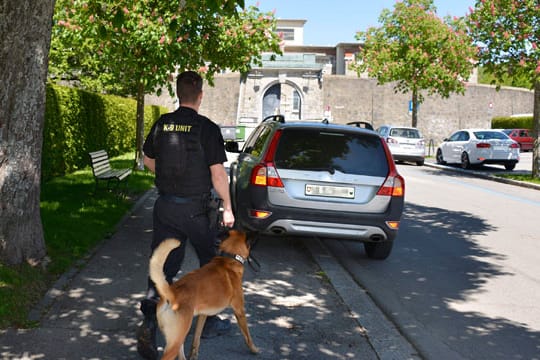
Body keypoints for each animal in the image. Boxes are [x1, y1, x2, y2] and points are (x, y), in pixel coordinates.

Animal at [148, 231, 258, 360]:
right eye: (249, 237)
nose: (256, 233)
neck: (228, 259)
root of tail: (172, 293)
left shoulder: (203, 315)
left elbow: (197, 337)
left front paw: (193, 354)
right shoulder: (239, 310)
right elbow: (247, 335)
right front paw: (254, 349)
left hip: (179, 337)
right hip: (176, 341)